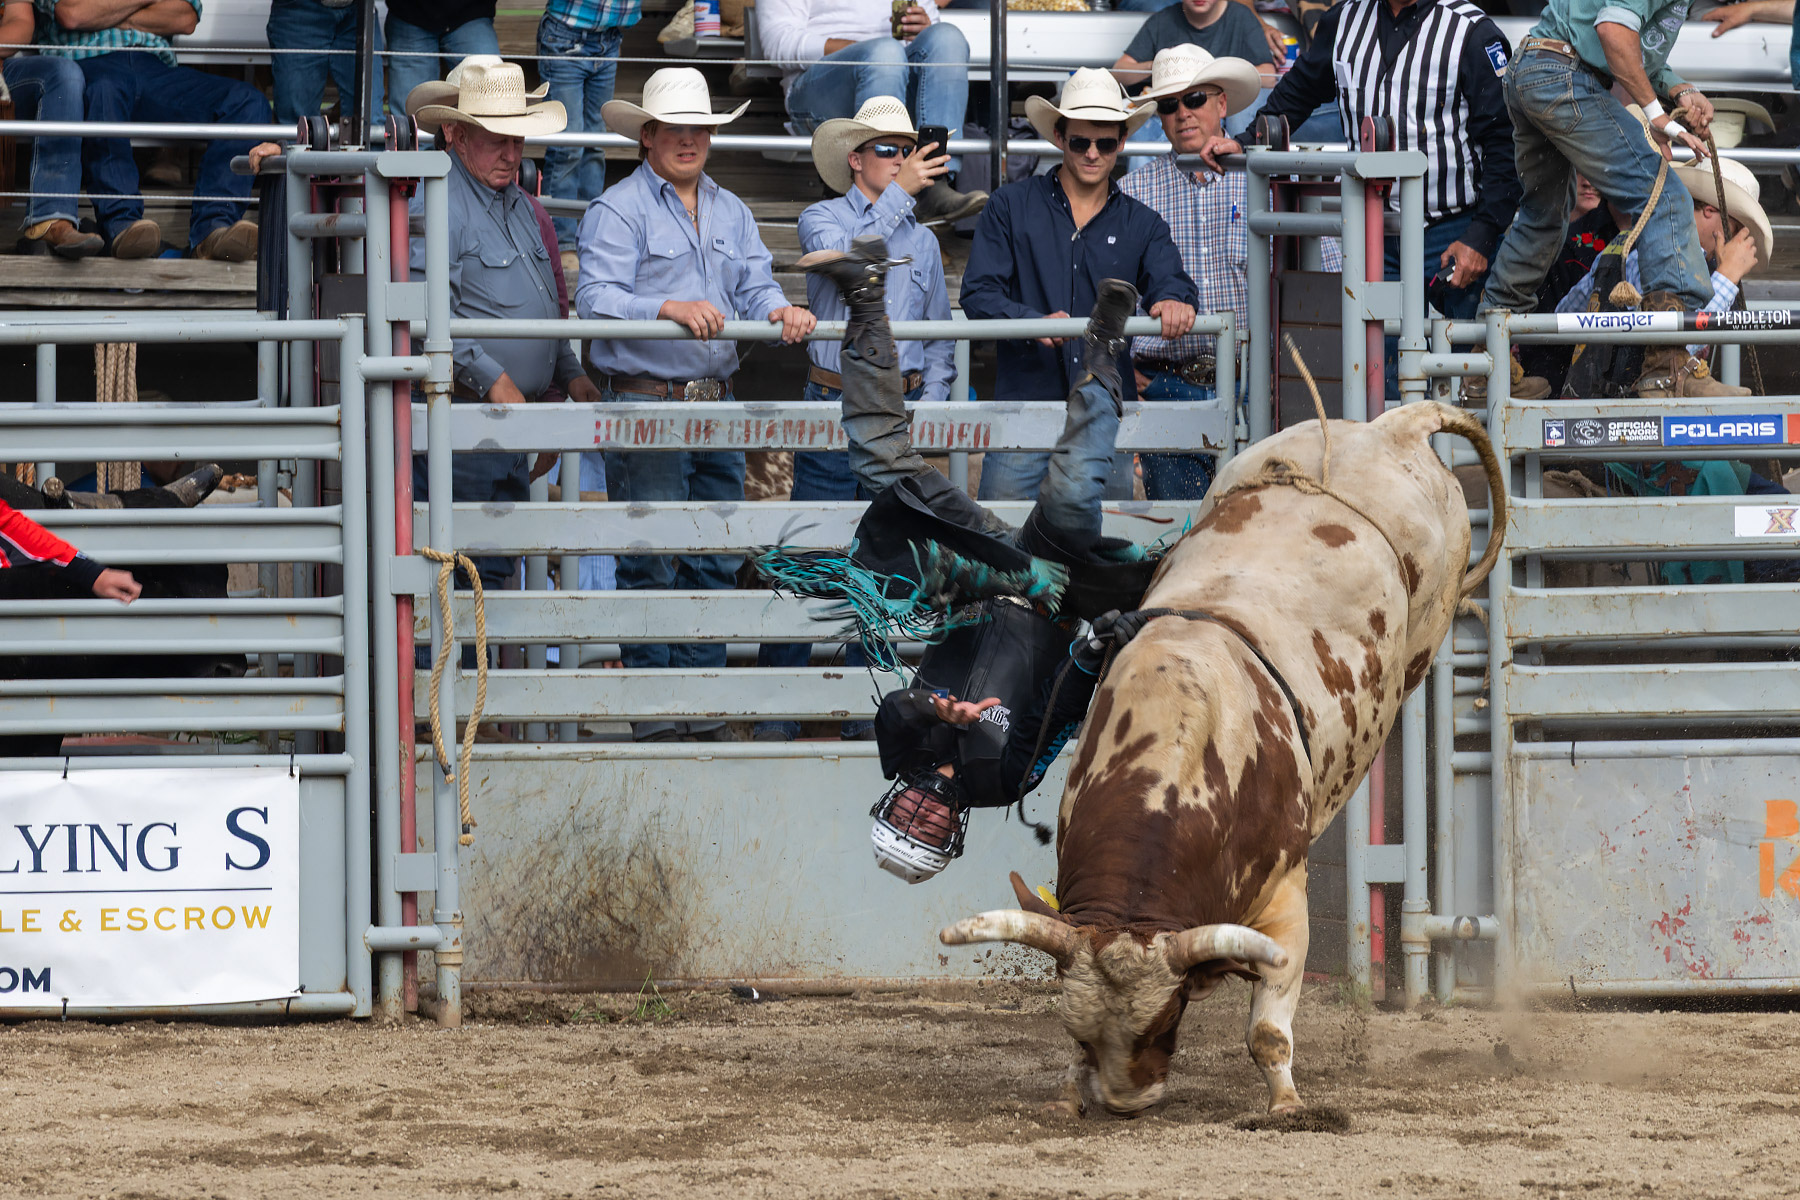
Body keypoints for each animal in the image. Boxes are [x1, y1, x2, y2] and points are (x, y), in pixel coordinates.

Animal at [939, 400, 1505, 1118]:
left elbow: (1268, 1027)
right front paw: (1071, 1090)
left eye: (1166, 1017)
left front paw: (1286, 1105)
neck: (1171, 768)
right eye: (1083, 1031)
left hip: (1428, 626)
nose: (1125, 1101)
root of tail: (1392, 430)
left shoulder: (1283, 901)